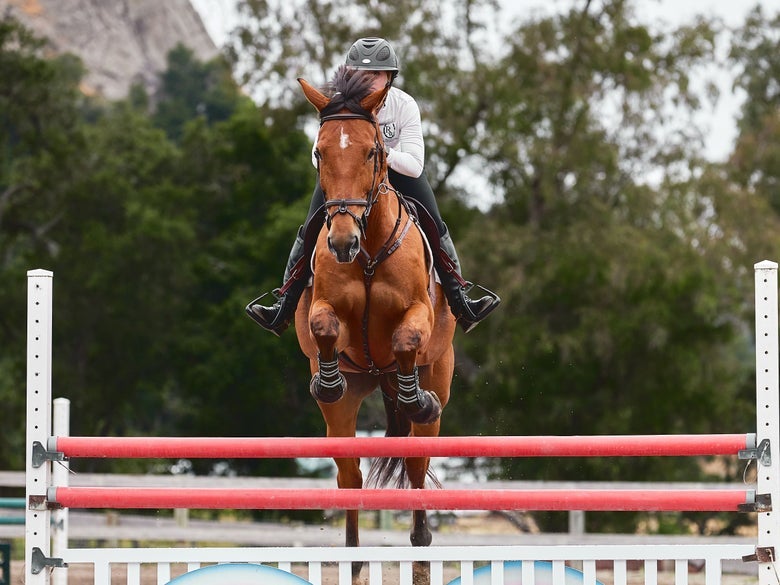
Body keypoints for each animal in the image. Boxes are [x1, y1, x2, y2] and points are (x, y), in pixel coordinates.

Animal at [294, 67, 456, 584]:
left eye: (371, 151)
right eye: (320, 152)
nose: (342, 241)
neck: (366, 253)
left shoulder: (418, 312)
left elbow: (406, 335)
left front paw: (413, 396)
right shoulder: (326, 308)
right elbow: (324, 327)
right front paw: (326, 381)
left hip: (436, 389)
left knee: (417, 467)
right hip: (345, 416)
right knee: (350, 477)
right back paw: (353, 558)